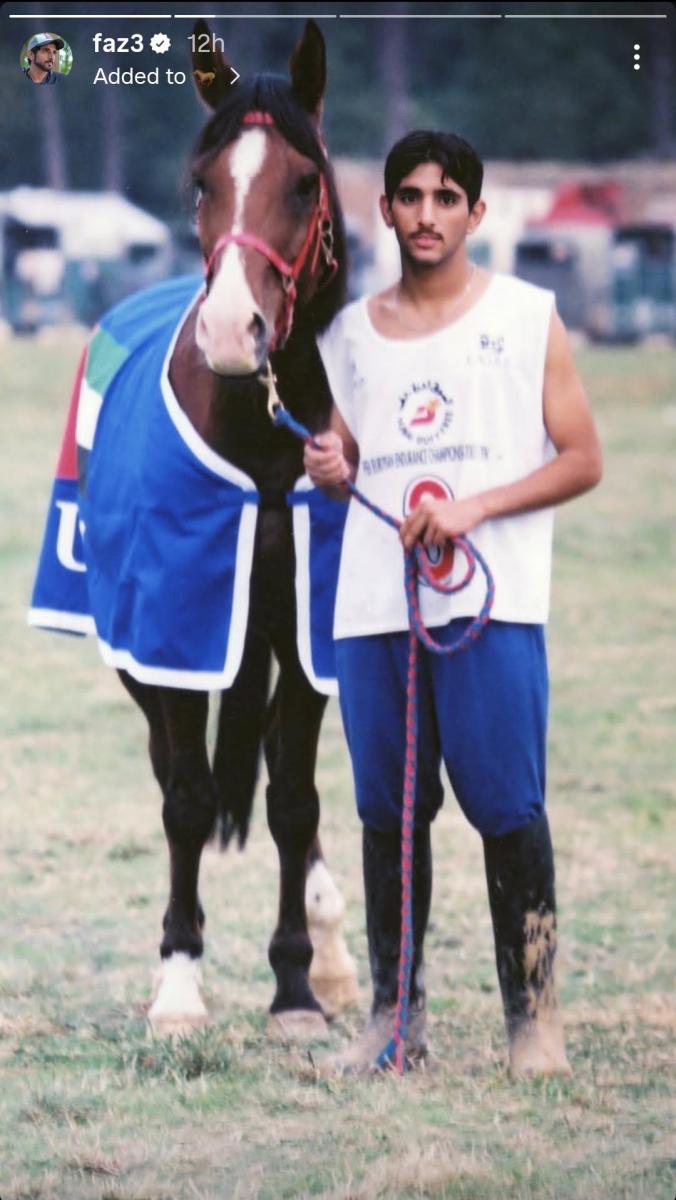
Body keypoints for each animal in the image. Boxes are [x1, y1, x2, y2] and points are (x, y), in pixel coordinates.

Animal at [30, 19, 359, 1039]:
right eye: (202, 183)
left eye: (306, 181)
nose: (229, 332)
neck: (262, 444)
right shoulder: (174, 625)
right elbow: (185, 799)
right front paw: (178, 982)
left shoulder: (308, 630)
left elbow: (294, 801)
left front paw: (296, 987)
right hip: (141, 654)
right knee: (173, 771)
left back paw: (333, 952)